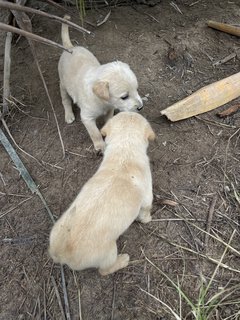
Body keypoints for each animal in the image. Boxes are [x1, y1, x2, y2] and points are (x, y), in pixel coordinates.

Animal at [48, 112, 156, 276]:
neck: (124, 148)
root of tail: (61, 253)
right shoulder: (147, 198)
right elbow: (145, 212)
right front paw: (148, 219)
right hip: (109, 253)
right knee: (104, 271)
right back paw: (123, 260)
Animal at [58, 16, 142, 152]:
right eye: (124, 97)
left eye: (137, 89)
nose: (141, 107)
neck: (102, 102)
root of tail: (70, 48)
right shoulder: (87, 117)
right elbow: (95, 133)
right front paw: (100, 146)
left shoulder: (110, 108)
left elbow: (108, 121)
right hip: (63, 84)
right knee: (65, 99)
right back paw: (69, 114)